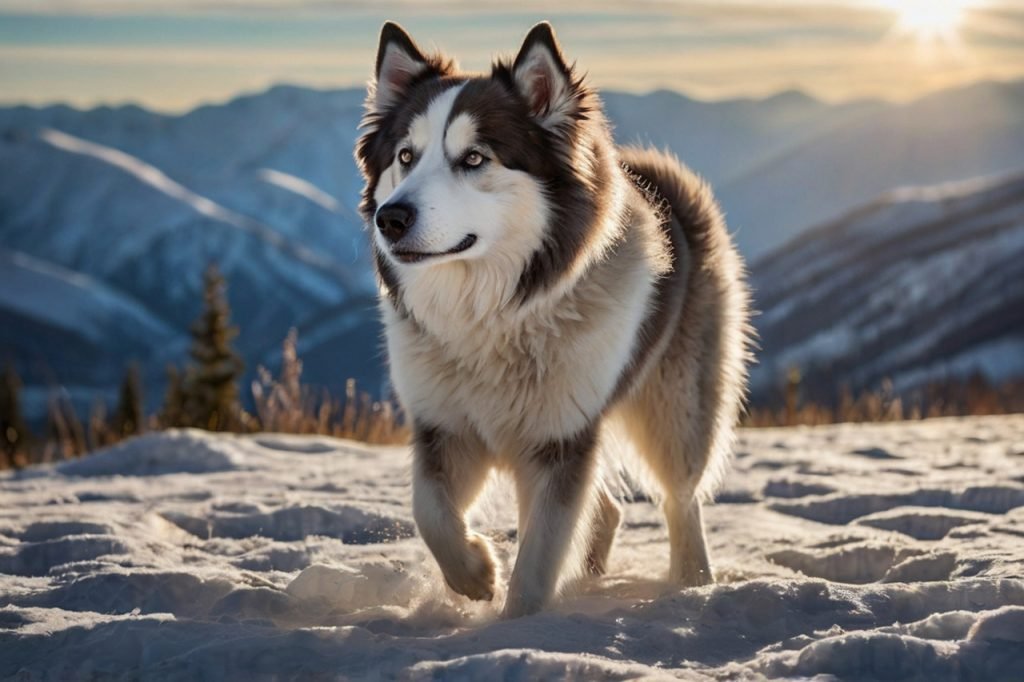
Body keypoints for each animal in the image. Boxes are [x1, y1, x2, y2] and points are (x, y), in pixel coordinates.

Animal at [354, 21, 753, 614]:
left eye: (475, 159)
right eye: (405, 155)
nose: (391, 218)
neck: (491, 317)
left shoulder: (560, 439)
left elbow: (541, 556)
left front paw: (519, 621)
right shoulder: (445, 426)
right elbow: (429, 512)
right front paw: (475, 574)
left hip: (677, 405)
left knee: (681, 497)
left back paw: (691, 583)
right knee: (609, 507)